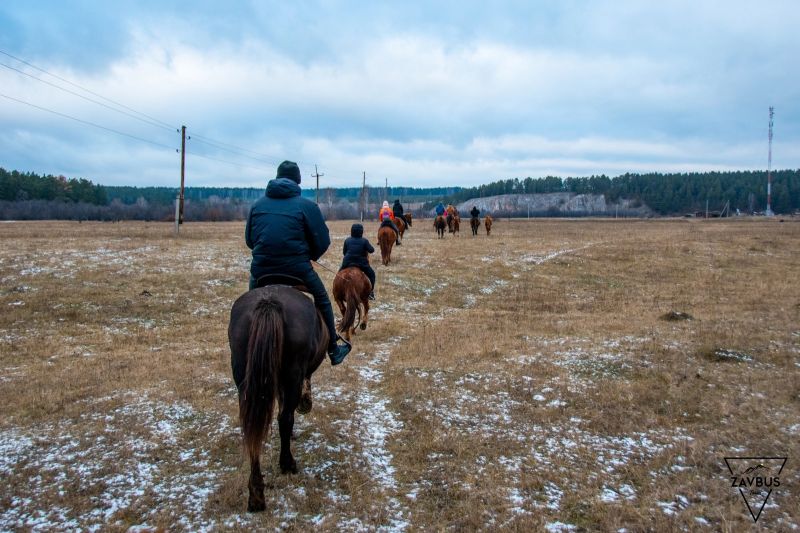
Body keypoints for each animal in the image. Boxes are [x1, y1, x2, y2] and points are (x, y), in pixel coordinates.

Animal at [227, 282, 326, 512]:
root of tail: (269, 303)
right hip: (292, 374)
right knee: (284, 418)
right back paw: (287, 464)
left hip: (245, 378)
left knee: (251, 427)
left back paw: (256, 495)